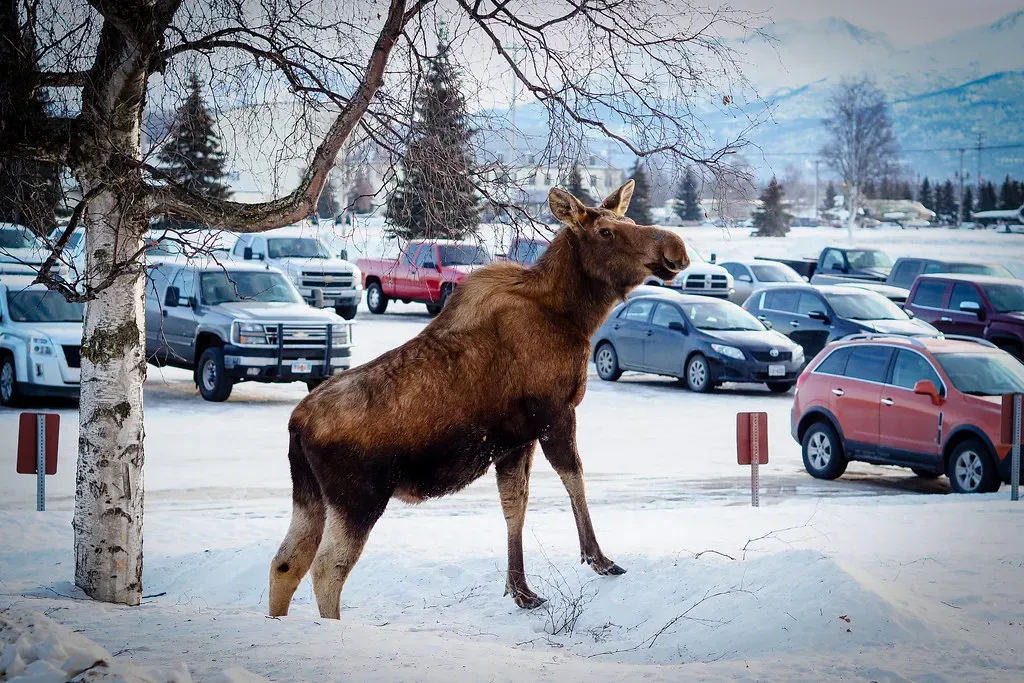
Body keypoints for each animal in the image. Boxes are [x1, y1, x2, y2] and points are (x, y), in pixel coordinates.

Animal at [268, 180, 689, 619]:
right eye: (606, 231)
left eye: (630, 221)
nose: (674, 246)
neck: (576, 317)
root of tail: (296, 424)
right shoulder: (554, 411)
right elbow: (574, 477)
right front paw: (598, 558)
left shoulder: (516, 439)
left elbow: (514, 505)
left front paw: (521, 590)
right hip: (358, 497)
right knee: (326, 568)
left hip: (310, 493)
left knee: (286, 562)